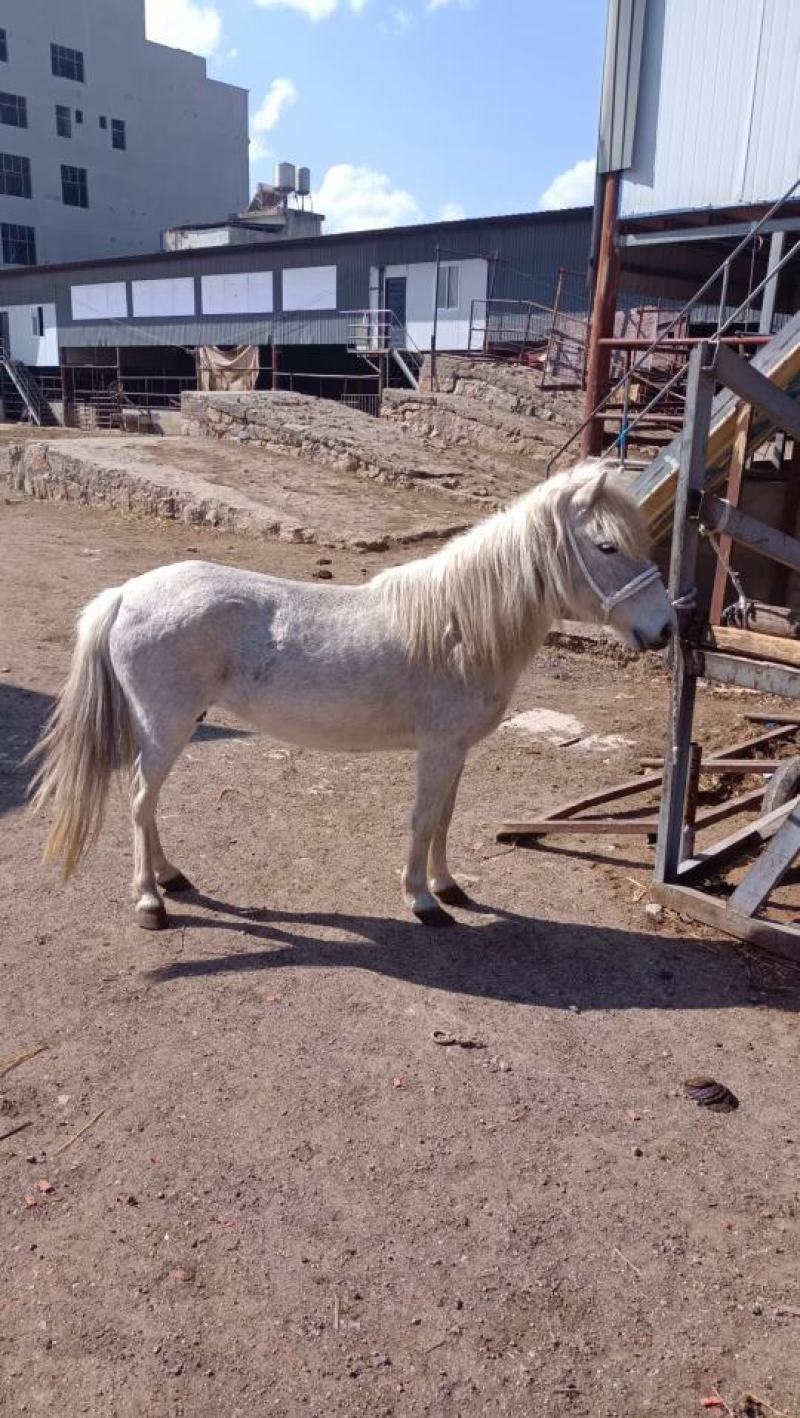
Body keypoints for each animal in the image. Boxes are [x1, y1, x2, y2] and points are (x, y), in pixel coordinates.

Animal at [29, 463, 674, 931]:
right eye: (607, 547)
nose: (667, 628)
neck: (458, 628)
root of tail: (125, 594)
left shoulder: (457, 751)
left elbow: (444, 817)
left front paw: (449, 887)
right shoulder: (438, 749)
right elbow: (422, 819)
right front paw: (423, 902)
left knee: (149, 803)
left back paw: (171, 878)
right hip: (167, 727)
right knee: (142, 800)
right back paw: (150, 902)